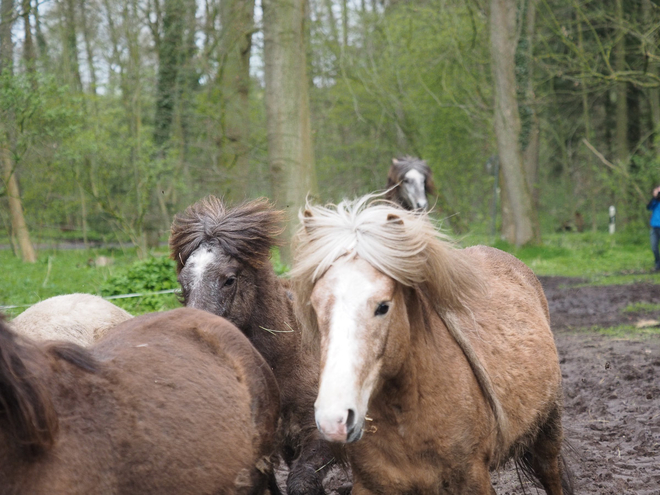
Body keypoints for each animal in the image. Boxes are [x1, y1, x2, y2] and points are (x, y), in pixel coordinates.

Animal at [288, 197, 572, 495]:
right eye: (315, 305)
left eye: (383, 306)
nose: (334, 419)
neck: (407, 419)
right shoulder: (369, 485)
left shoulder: (473, 479)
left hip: (548, 433)